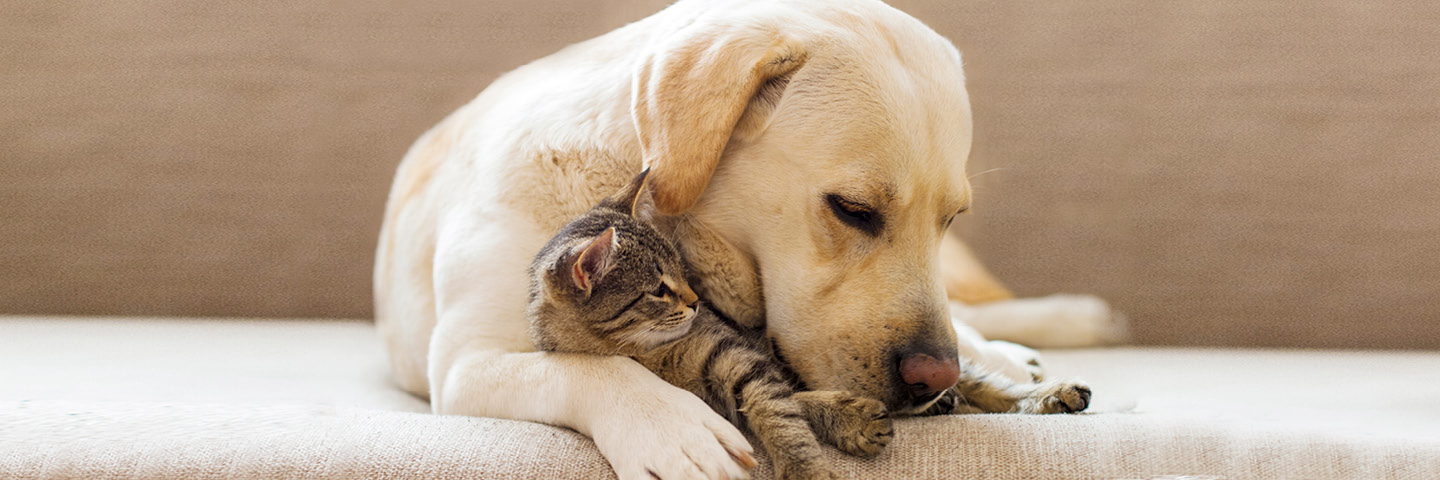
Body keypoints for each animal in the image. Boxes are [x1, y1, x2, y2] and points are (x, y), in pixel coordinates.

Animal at [529, 170, 887, 475]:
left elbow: (779, 409)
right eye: (659, 290)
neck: (646, 352)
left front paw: (811, 460)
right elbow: (785, 403)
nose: (696, 301)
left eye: (680, 268)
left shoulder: (737, 356)